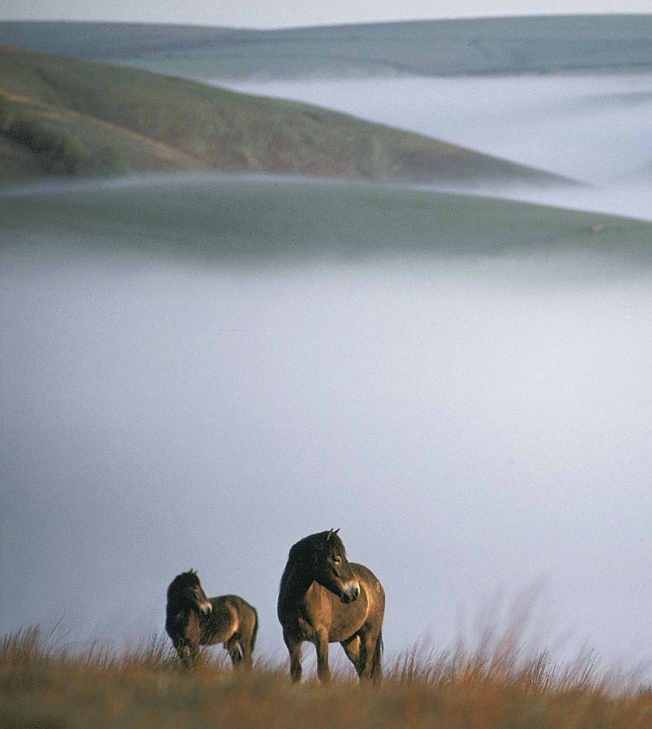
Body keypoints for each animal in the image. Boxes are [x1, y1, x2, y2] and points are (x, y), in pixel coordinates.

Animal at [277, 529, 385, 684]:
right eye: (336, 558)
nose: (355, 592)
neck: (298, 602)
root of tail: (377, 584)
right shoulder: (291, 638)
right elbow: (296, 673)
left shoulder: (321, 636)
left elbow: (324, 673)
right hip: (350, 640)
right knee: (361, 668)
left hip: (369, 635)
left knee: (366, 670)